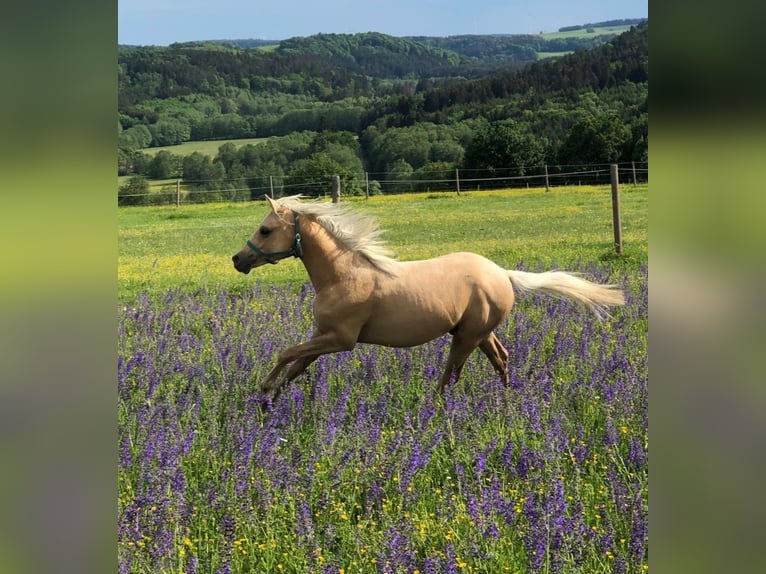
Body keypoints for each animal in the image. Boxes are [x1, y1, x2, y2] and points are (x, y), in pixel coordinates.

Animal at [232, 195, 625, 401]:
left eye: (265, 230)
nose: (238, 260)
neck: (343, 275)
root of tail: (502, 273)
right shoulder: (322, 335)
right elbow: (297, 364)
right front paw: (271, 400)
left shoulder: (341, 339)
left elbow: (287, 354)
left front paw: (264, 390)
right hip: (478, 332)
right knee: (500, 358)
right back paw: (507, 400)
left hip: (467, 336)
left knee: (451, 373)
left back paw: (432, 409)